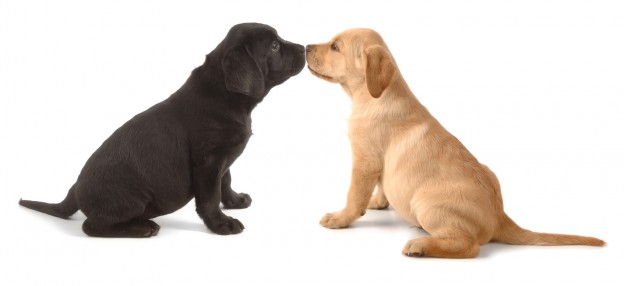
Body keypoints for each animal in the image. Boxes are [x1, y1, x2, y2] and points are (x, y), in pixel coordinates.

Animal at [17, 22, 304, 237]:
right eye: (275, 46)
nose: (304, 47)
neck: (225, 96)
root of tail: (74, 190)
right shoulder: (209, 161)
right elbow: (210, 196)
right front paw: (221, 223)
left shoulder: (223, 158)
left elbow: (226, 180)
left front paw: (235, 202)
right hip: (132, 198)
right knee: (91, 226)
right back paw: (142, 228)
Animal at [308, 29, 604, 260]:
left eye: (335, 46)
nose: (307, 47)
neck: (374, 96)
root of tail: (500, 216)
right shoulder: (376, 164)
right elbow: (381, 186)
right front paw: (377, 202)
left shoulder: (364, 159)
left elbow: (353, 194)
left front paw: (339, 218)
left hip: (425, 203)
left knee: (469, 246)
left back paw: (421, 245)